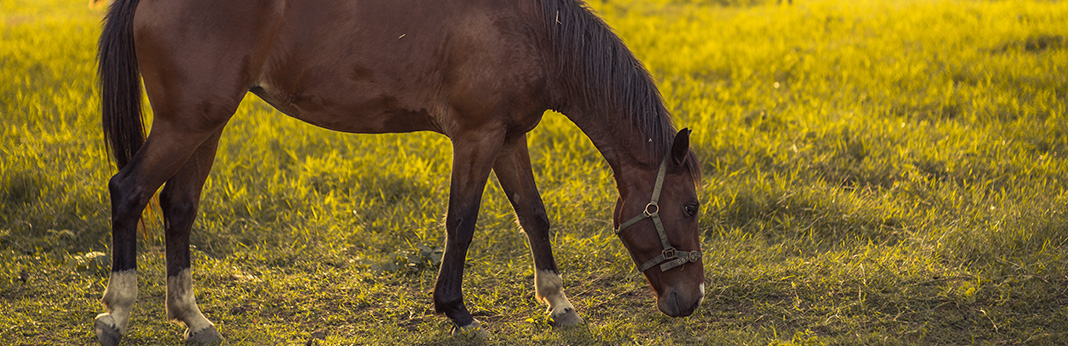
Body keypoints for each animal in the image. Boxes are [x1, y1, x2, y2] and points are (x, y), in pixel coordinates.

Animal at [96, 0, 704, 341]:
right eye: (691, 206)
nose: (690, 299)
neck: (535, 31)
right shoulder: (476, 137)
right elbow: (461, 222)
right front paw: (458, 312)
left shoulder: (509, 138)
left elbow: (534, 215)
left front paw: (559, 303)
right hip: (186, 124)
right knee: (127, 192)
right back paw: (116, 315)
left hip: (207, 124)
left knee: (177, 208)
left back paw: (193, 319)